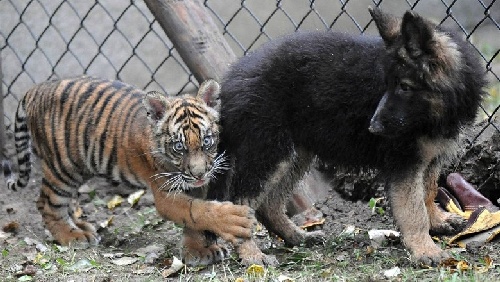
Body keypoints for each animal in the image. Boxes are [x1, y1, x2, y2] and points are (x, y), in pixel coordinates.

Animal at [206, 7, 484, 266]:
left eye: (404, 87)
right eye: (388, 84)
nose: (373, 128)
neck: (438, 112)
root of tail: (229, 83)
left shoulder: (431, 157)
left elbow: (428, 190)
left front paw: (437, 221)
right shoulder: (405, 164)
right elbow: (413, 209)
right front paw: (425, 249)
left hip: (294, 154)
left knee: (269, 204)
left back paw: (297, 236)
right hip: (269, 152)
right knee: (240, 201)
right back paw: (252, 254)